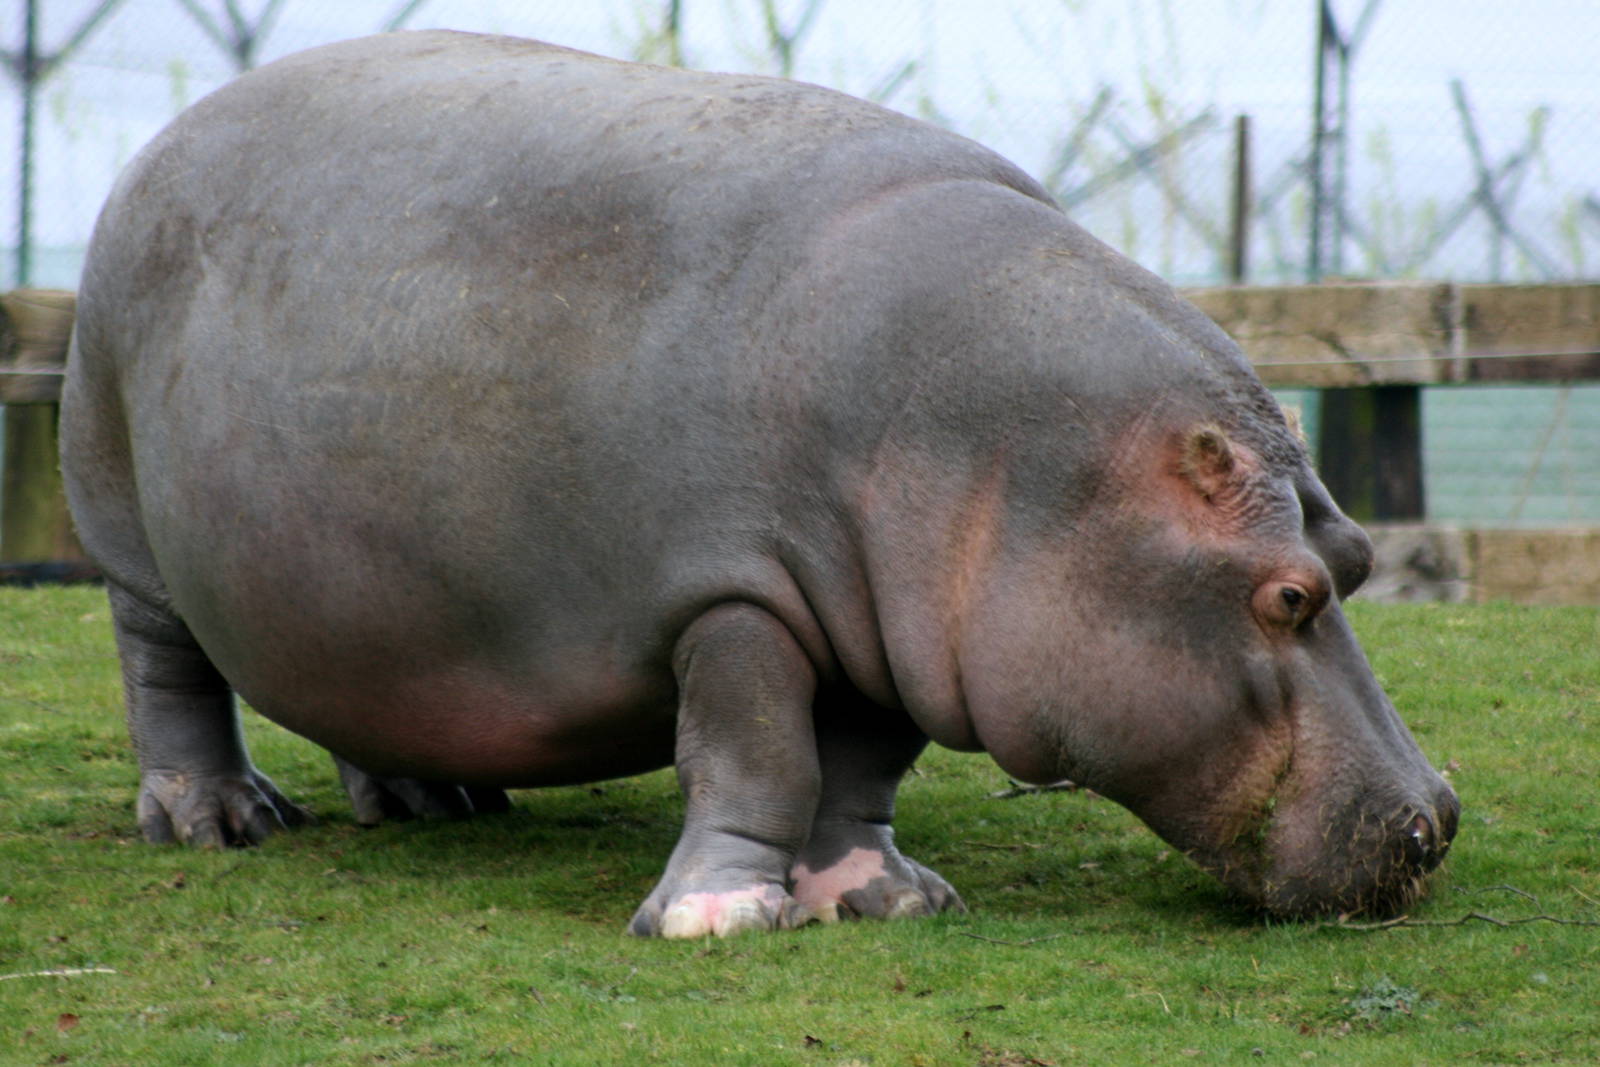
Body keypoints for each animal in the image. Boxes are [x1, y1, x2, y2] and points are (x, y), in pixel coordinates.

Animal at [60, 30, 1457, 937]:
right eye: (1285, 596)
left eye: (1357, 561)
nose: (1435, 818)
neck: (1030, 459)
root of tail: (162, 138)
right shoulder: (736, 595)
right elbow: (760, 754)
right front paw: (719, 916)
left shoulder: (900, 622)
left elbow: (862, 770)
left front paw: (886, 898)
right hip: (122, 513)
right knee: (165, 668)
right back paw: (219, 820)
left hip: (358, 584)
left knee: (352, 681)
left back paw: (430, 801)